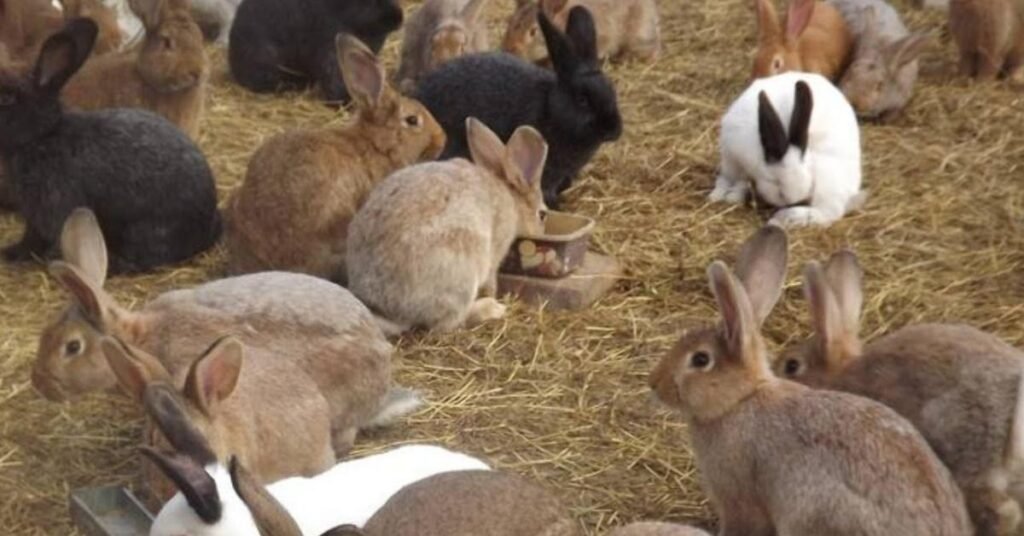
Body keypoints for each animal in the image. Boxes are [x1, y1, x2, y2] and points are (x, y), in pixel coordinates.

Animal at [0, 19, 220, 272]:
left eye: (6, 99)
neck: (43, 135)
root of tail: (208, 222)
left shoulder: (53, 205)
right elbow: (31, 238)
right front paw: (12, 252)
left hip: (146, 231)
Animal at [346, 118, 547, 334]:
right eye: (542, 214)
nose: (540, 231)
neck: (511, 197)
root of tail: (390, 309)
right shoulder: (496, 251)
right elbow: (491, 278)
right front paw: (493, 295)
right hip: (463, 269)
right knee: (447, 324)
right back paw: (491, 309)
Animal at [712, 72, 864, 227]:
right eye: (775, 182)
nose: (789, 202)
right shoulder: (734, 158)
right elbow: (734, 179)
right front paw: (726, 195)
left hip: (830, 177)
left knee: (828, 212)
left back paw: (787, 216)